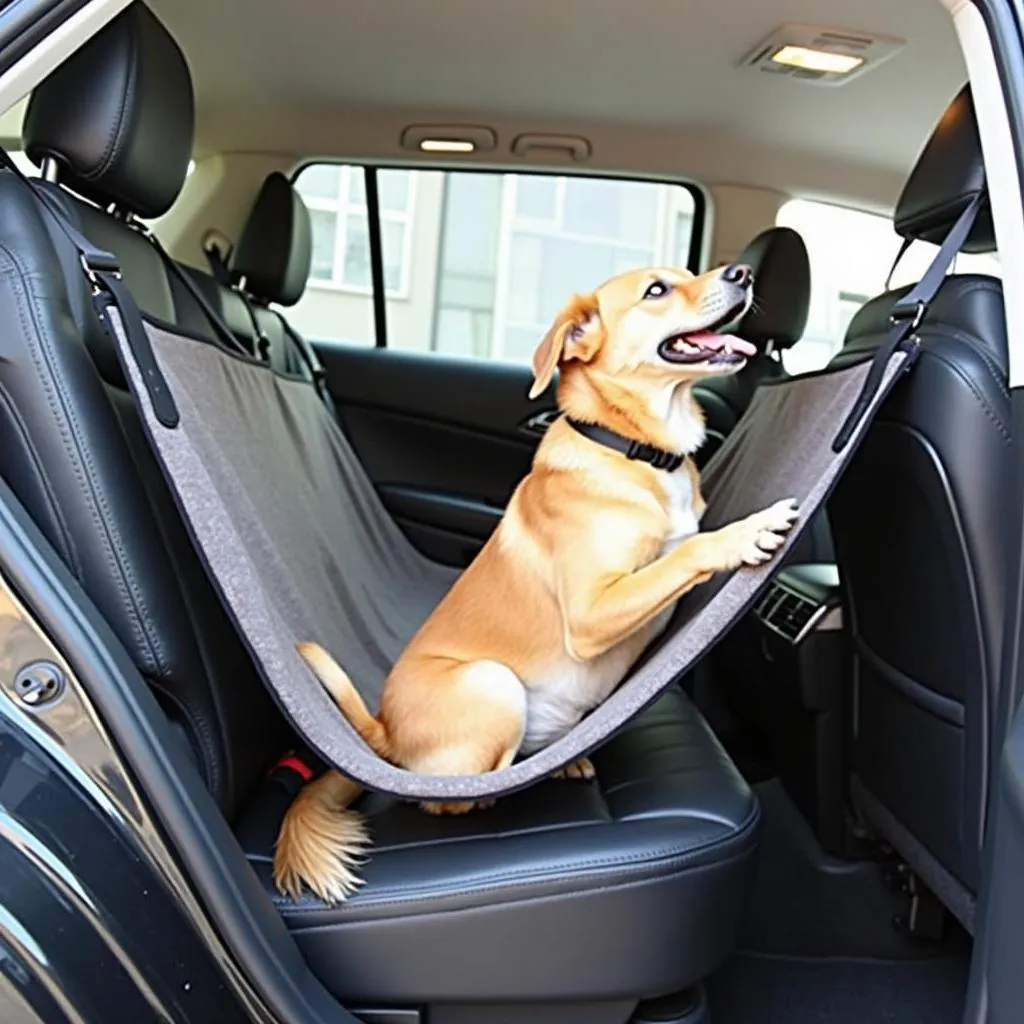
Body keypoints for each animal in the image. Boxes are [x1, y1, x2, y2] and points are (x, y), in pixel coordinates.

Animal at [274, 260, 798, 901]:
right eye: (656, 290)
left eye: (687, 270)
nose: (742, 272)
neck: (635, 450)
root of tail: (385, 735)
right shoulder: (591, 612)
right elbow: (687, 550)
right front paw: (747, 531)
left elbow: (681, 545)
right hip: (493, 685)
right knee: (455, 799)